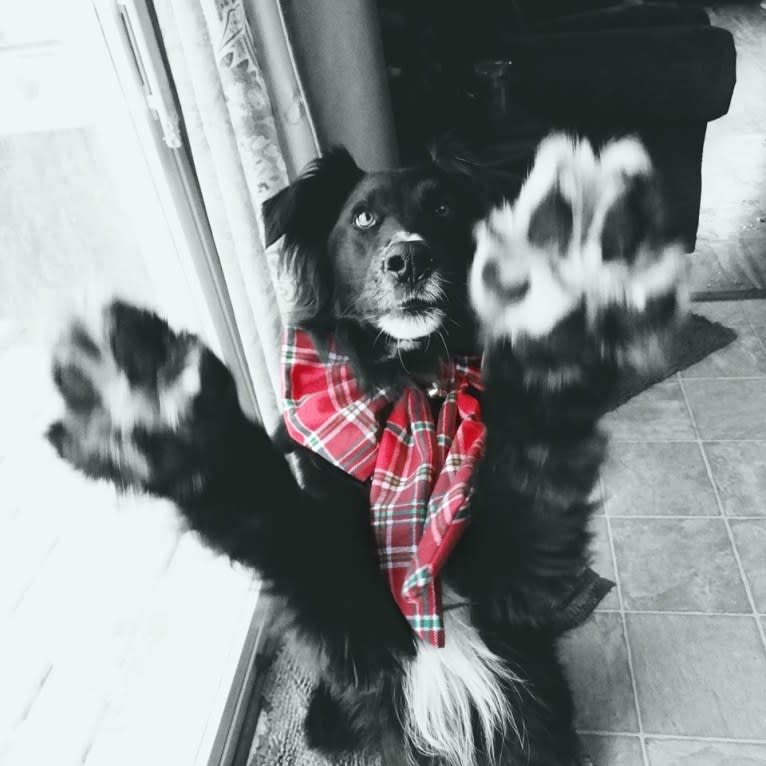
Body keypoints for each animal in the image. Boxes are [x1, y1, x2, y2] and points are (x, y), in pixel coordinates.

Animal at [46, 136, 684, 766]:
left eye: (444, 209)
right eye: (364, 219)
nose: (408, 260)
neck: (417, 388)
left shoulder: (520, 589)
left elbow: (534, 464)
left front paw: (562, 275)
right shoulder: (359, 633)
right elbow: (278, 522)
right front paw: (158, 401)